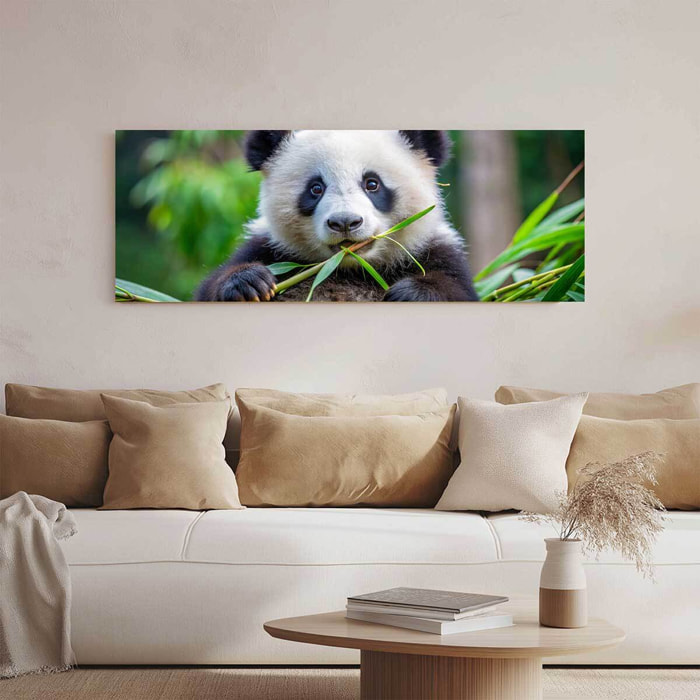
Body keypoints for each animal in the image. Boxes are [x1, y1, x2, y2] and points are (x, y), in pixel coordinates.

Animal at [195, 130, 479, 302]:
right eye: (316, 188)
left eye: (372, 183)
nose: (345, 222)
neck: (350, 268)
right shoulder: (271, 249)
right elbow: (211, 288)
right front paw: (248, 283)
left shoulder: (433, 252)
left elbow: (455, 289)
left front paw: (412, 293)